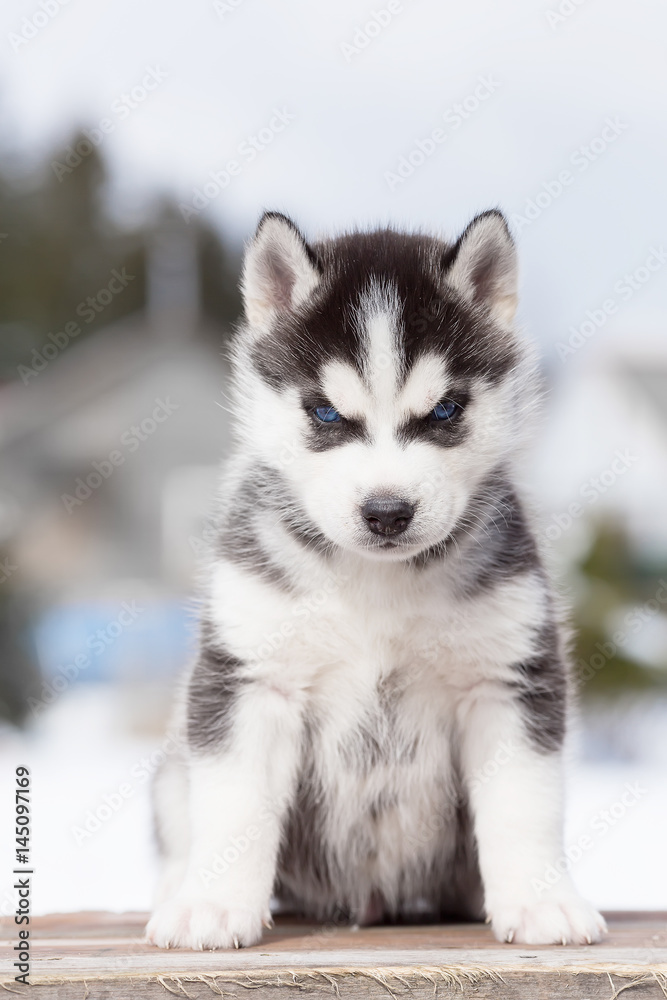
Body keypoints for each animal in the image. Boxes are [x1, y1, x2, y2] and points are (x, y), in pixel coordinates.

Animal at [146, 213, 604, 952]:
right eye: (327, 414)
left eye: (444, 410)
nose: (387, 512)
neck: (377, 583)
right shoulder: (252, 679)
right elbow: (234, 806)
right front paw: (211, 906)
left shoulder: (505, 679)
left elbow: (523, 806)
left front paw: (541, 902)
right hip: (170, 765)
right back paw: (174, 889)